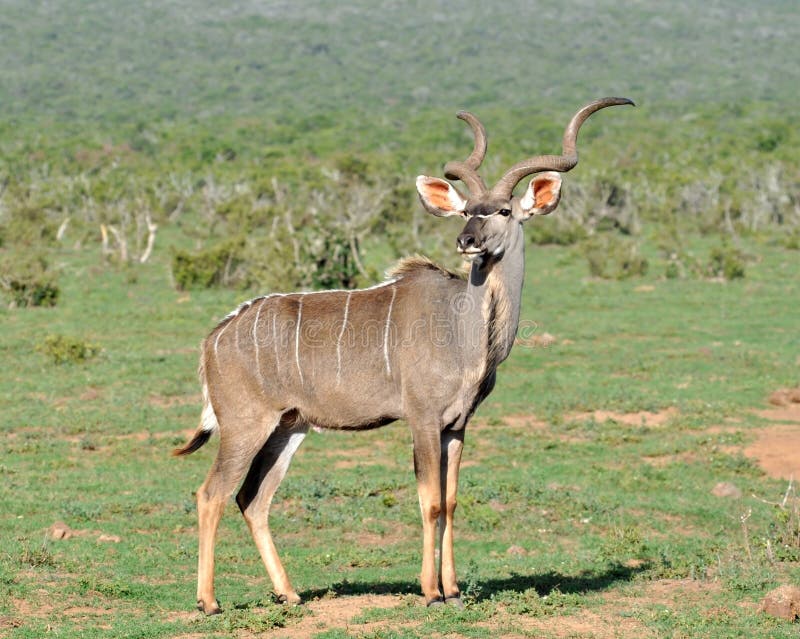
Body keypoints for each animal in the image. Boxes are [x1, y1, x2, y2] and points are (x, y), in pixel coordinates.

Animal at [173, 97, 632, 612]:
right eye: (466, 210)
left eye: (503, 211)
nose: (467, 241)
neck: (464, 328)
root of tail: (215, 336)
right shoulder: (423, 419)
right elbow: (429, 501)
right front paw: (430, 593)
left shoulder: (457, 426)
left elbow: (451, 501)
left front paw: (454, 591)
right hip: (245, 425)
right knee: (211, 493)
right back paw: (209, 602)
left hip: (288, 428)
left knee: (252, 498)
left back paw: (288, 594)